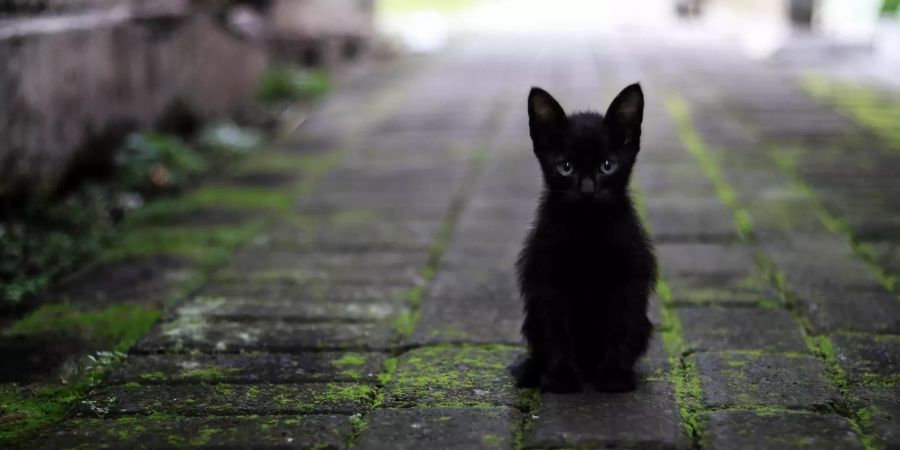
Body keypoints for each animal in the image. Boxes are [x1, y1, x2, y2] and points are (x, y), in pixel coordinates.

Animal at [512, 84, 652, 394]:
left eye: (607, 166)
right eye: (566, 167)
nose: (587, 189)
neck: (588, 230)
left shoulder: (629, 277)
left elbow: (621, 326)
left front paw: (614, 375)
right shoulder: (547, 280)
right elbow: (556, 330)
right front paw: (562, 376)